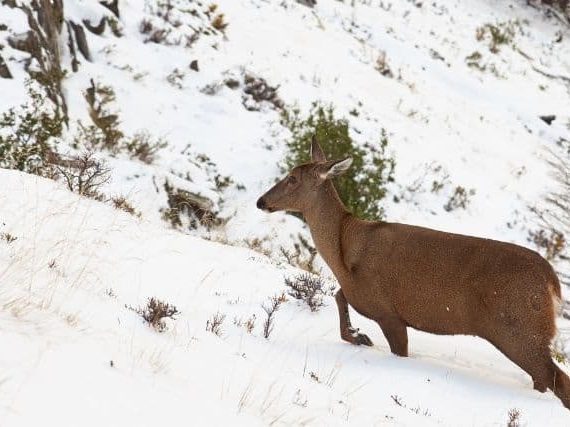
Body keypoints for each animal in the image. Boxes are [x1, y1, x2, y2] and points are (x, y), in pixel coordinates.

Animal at [256, 138, 568, 412]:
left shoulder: (389, 312)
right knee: (544, 379)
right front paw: (359, 335)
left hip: (517, 328)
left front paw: (362, 337)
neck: (344, 251)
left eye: (293, 178)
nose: (261, 201)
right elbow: (339, 296)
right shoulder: (363, 296)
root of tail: (552, 284)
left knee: (556, 379)